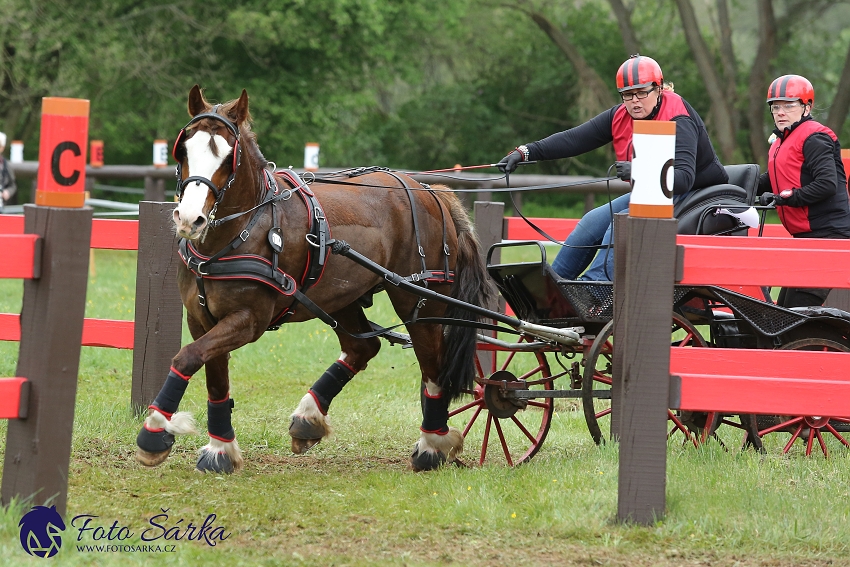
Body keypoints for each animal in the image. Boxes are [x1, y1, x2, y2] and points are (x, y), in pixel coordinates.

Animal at [132, 85, 490, 474]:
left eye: (229, 157)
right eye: (183, 149)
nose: (189, 219)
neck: (241, 230)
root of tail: (429, 190)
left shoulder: (248, 320)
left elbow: (186, 358)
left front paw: (155, 430)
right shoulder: (202, 319)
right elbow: (213, 377)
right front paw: (220, 449)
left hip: (419, 301)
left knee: (433, 369)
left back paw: (432, 445)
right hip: (342, 296)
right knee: (363, 348)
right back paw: (309, 417)